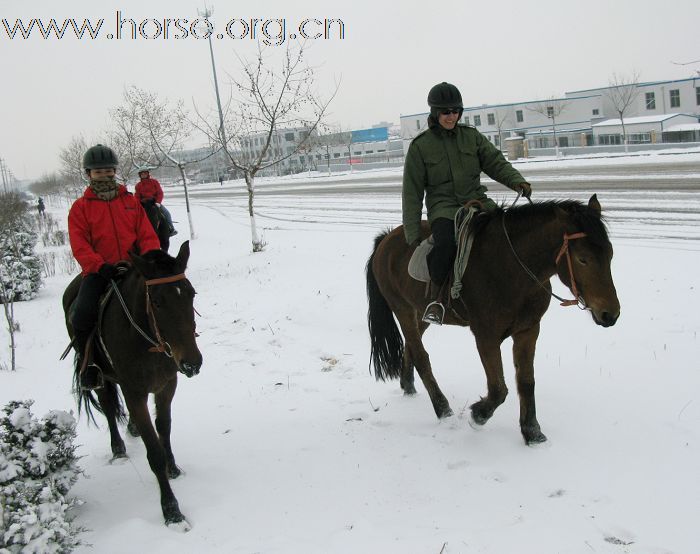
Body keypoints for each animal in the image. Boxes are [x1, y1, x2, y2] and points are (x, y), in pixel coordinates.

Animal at [62, 242, 202, 528]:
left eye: (191, 294)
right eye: (157, 302)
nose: (192, 363)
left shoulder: (167, 384)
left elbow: (164, 428)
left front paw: (173, 468)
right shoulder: (134, 393)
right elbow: (153, 451)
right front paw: (171, 510)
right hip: (101, 378)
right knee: (107, 405)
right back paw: (118, 450)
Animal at [366, 195, 616, 444]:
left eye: (610, 254)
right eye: (582, 259)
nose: (610, 314)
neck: (511, 269)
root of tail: (386, 239)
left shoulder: (528, 330)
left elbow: (526, 382)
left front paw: (532, 432)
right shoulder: (486, 335)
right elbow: (498, 388)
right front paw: (479, 414)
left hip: (421, 314)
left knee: (411, 346)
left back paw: (408, 387)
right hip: (403, 310)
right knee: (421, 356)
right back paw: (442, 409)